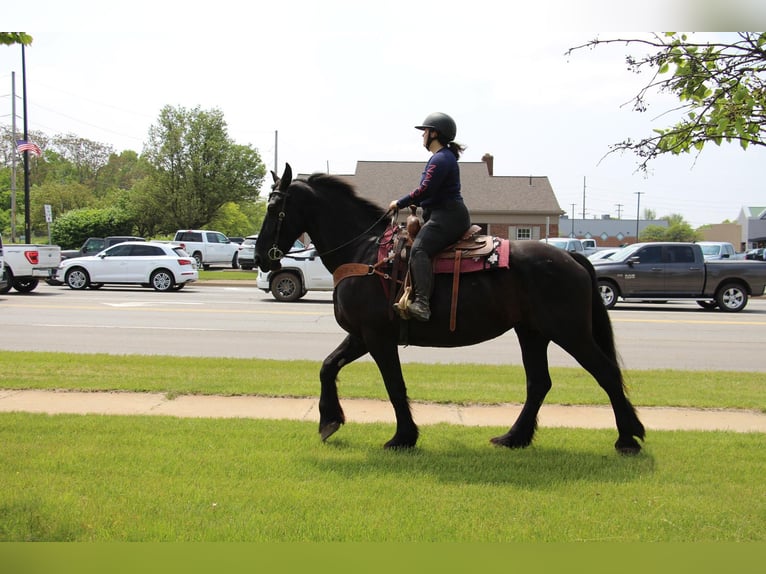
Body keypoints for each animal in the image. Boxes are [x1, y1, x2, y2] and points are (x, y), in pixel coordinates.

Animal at [255, 164, 644, 456]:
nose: (259, 257)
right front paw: (329, 421)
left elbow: (393, 384)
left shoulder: (377, 337)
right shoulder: (361, 335)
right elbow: (327, 366)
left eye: (274, 208)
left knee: (606, 373)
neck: (365, 254)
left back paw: (628, 438)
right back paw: (514, 437)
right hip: (533, 333)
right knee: (539, 383)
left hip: (569, 332)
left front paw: (403, 437)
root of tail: (572, 257)